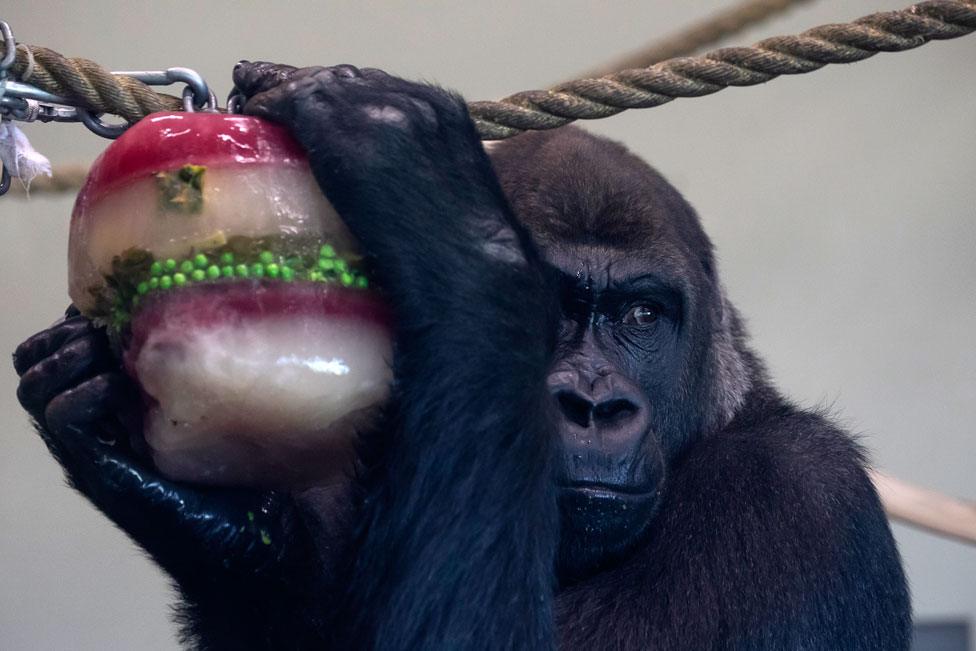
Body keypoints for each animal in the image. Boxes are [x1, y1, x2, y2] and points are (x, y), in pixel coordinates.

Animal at [11, 62, 912, 651]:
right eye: (553, 310)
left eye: (642, 317)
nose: (594, 405)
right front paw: (206, 516)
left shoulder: (796, 499)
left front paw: (427, 189)